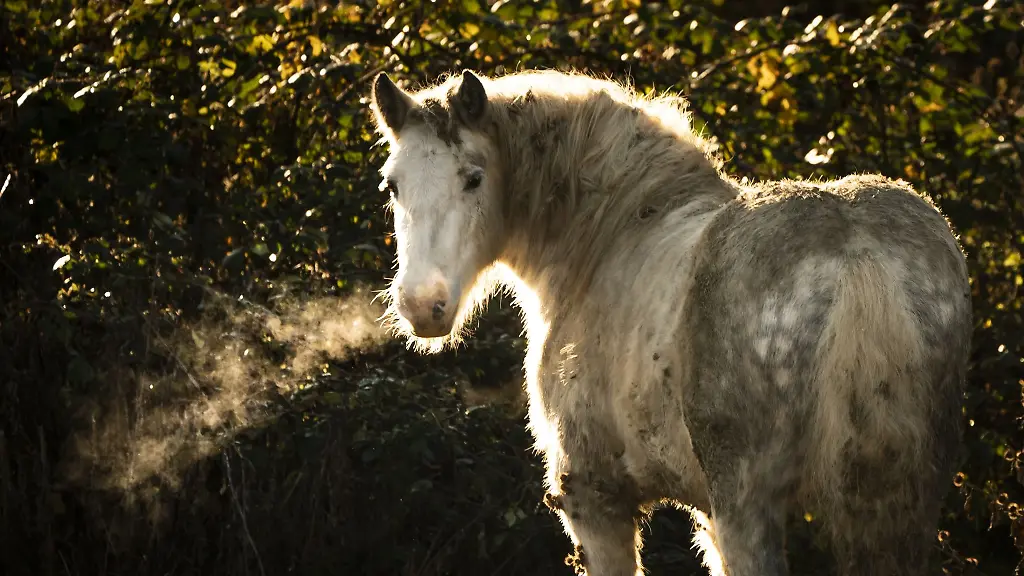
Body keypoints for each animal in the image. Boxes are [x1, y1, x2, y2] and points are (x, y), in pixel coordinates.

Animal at [367, 68, 972, 576]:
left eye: (473, 179)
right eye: (393, 184)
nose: (422, 305)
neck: (606, 234)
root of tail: (855, 252)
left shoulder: (596, 500)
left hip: (748, 509)